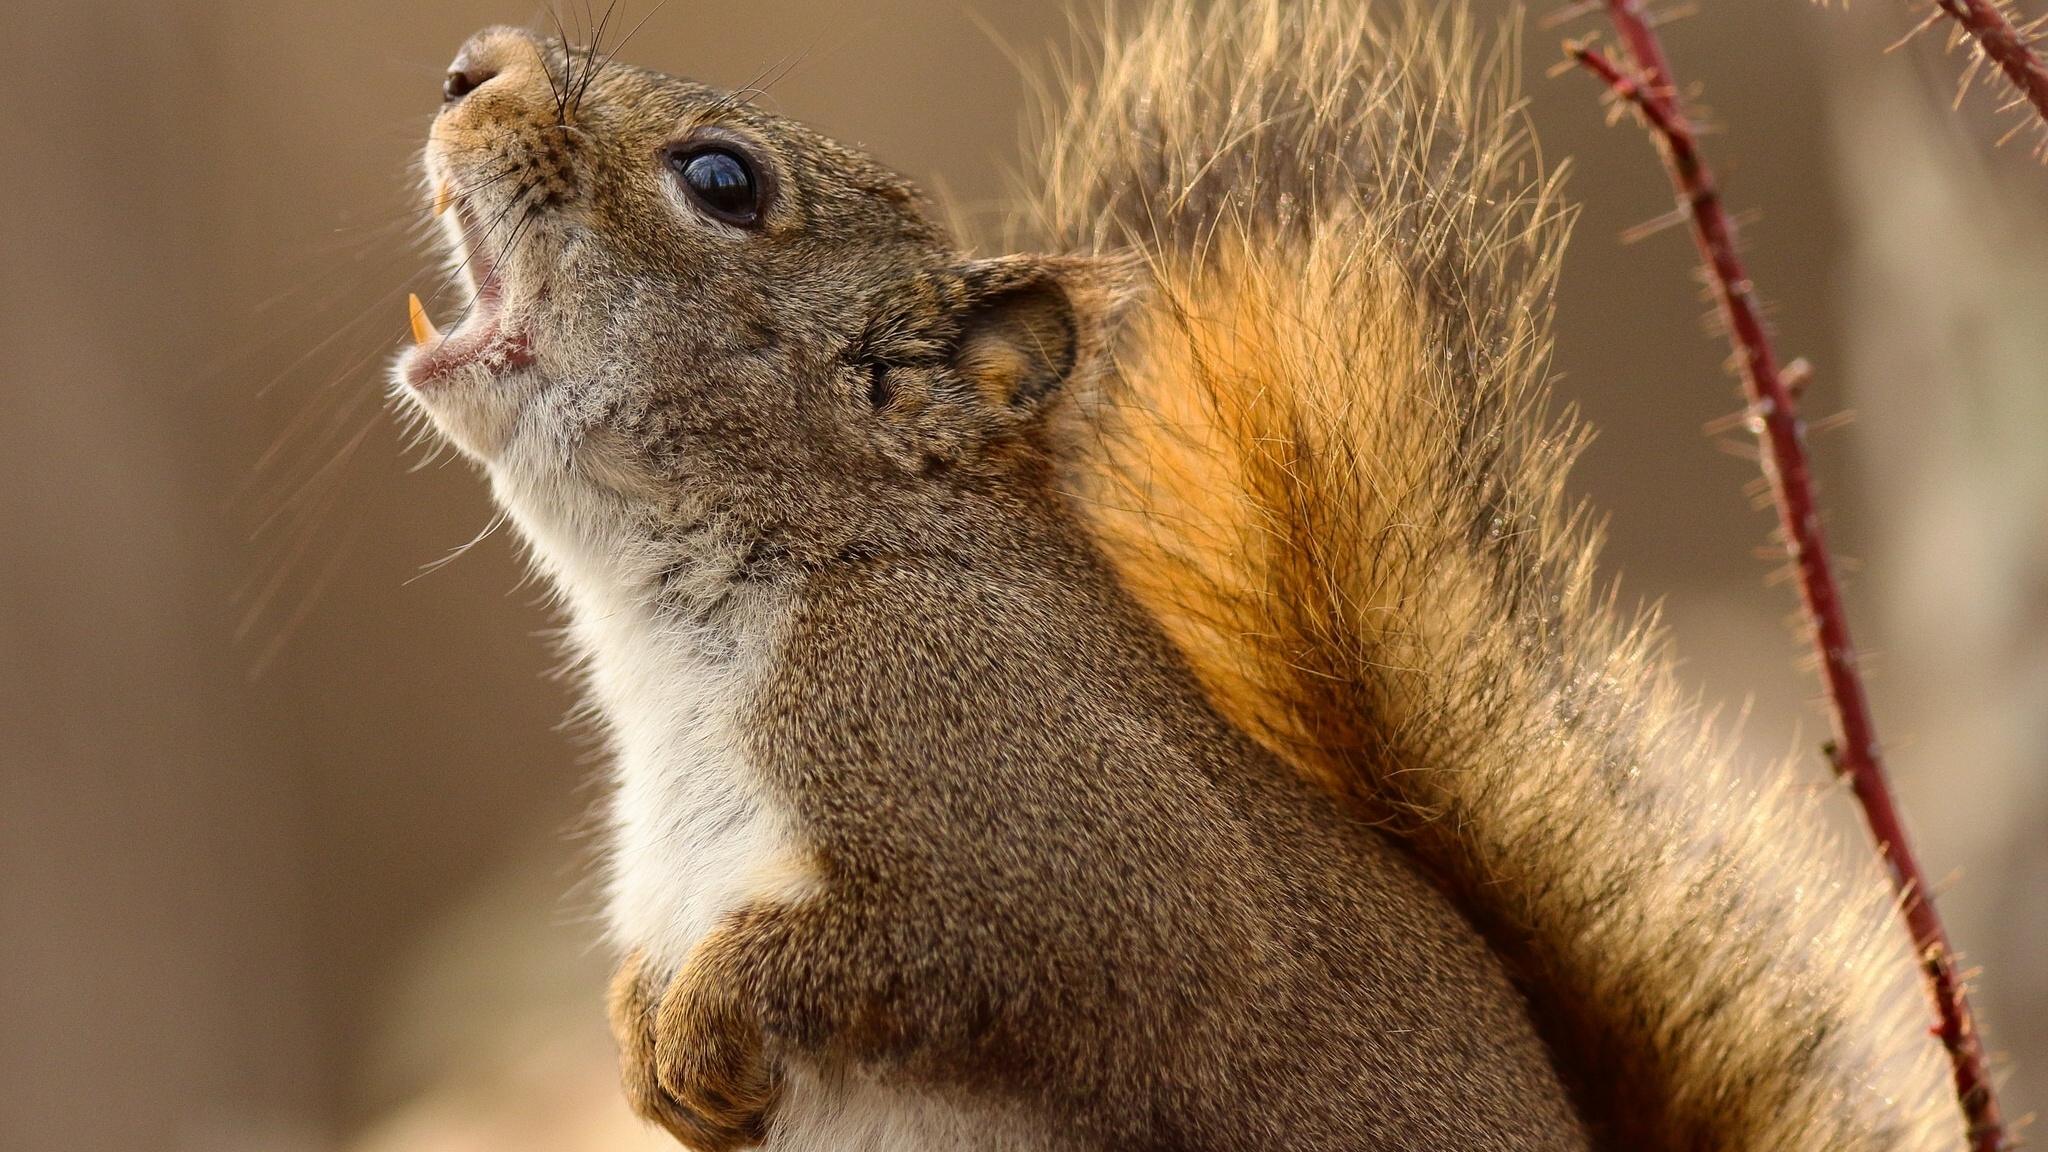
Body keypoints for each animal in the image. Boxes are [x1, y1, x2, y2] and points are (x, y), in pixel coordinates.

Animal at [387, 2, 1966, 1147]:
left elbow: (1027, 948)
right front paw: (650, 1054)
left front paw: (718, 1016)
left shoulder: (997, 759)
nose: (471, 66)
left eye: (722, 180)